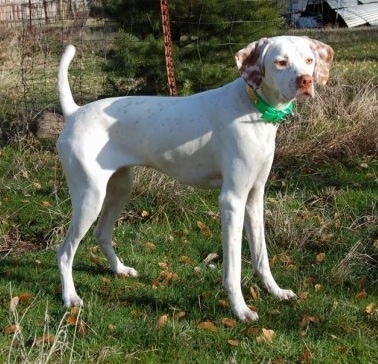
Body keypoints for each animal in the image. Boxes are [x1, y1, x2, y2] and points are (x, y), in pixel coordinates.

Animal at [56, 36, 334, 322]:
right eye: (280, 62)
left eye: (309, 60)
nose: (305, 81)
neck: (252, 108)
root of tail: (75, 112)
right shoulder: (232, 200)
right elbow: (233, 267)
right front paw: (240, 309)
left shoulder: (254, 197)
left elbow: (261, 256)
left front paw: (274, 291)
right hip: (90, 198)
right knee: (64, 252)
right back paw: (70, 297)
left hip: (119, 189)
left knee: (101, 234)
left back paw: (119, 269)